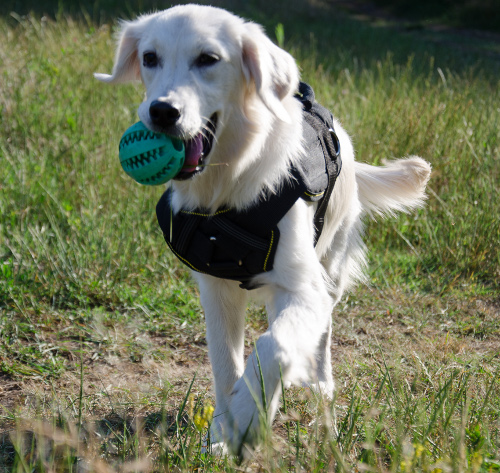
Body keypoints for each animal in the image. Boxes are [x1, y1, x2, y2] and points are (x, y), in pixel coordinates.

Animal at [95, 2, 432, 454]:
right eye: (150, 58)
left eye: (208, 59)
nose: (162, 111)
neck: (230, 185)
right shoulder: (215, 289)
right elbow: (226, 366)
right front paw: (224, 432)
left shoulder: (303, 287)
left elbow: (275, 345)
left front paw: (247, 417)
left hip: (331, 270)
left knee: (318, 339)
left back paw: (321, 395)